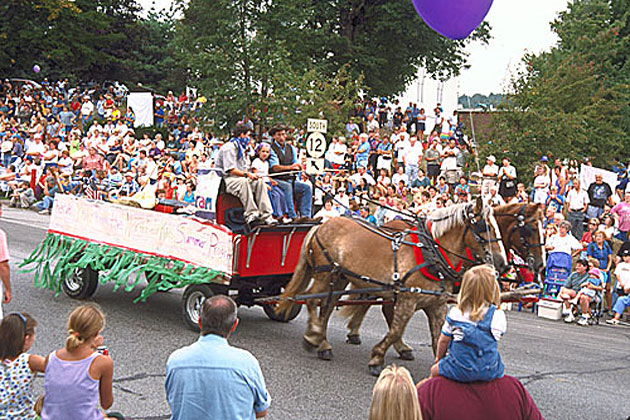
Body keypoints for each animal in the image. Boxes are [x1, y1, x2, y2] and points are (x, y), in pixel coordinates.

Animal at [278, 199, 512, 376]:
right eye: (483, 227)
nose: (503, 263)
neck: (431, 254)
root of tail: (321, 225)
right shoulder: (408, 299)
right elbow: (395, 330)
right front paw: (376, 358)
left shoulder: (436, 304)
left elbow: (437, 338)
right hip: (324, 274)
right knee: (311, 299)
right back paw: (313, 336)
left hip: (340, 278)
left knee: (326, 308)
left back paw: (323, 343)